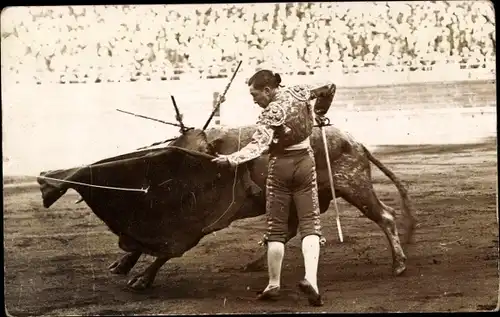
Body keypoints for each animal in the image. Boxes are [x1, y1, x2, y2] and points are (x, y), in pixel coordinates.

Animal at [37, 123, 416, 288]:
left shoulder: (195, 222)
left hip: (354, 185)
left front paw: (141, 278)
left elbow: (167, 248)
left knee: (385, 216)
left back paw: (399, 264)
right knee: (289, 229)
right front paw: (123, 264)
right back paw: (256, 263)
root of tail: (356, 142)